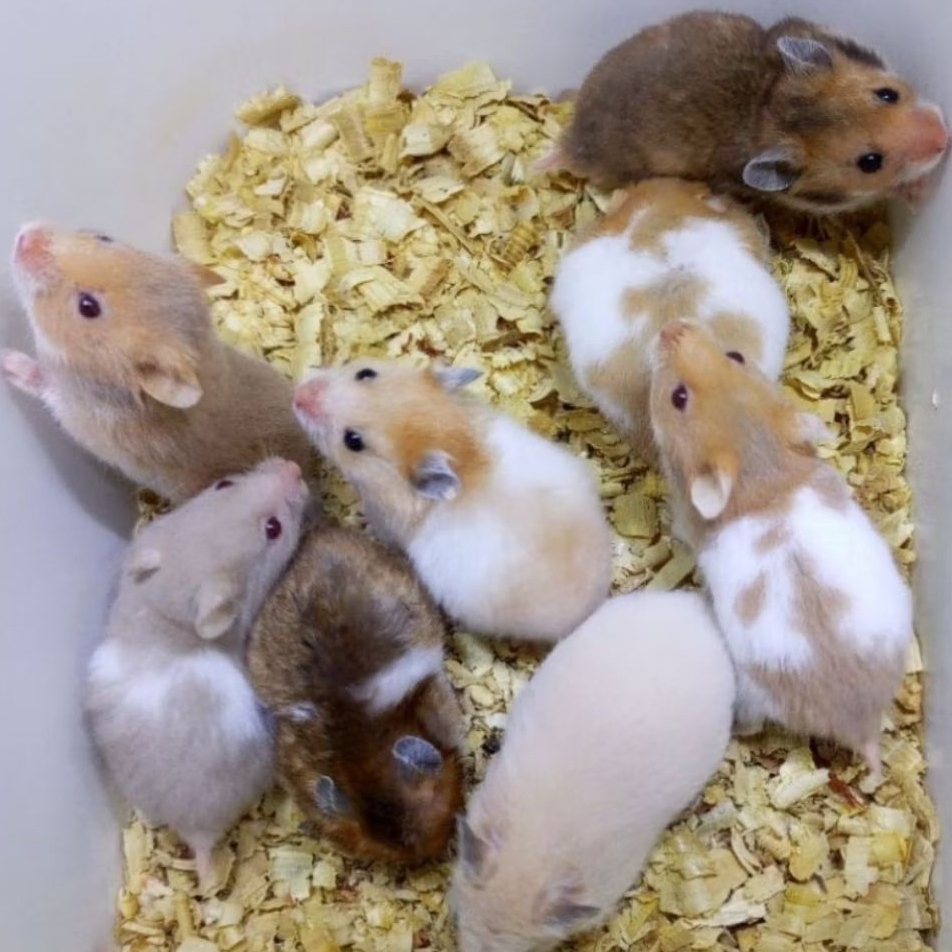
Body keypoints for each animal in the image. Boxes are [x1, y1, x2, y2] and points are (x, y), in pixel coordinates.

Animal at [2, 223, 314, 501]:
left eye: (88, 306)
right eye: (105, 238)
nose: (24, 237)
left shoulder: (75, 412)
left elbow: (39, 381)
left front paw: (6, 359)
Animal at [292, 360, 612, 642]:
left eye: (353, 441)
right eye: (366, 372)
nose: (298, 395)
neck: (458, 446)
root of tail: (592, 608)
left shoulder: (384, 518)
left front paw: (359, 520)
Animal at [540, 11, 948, 215]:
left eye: (887, 94)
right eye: (869, 162)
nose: (945, 136)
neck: (768, 102)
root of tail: (573, 138)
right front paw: (919, 195)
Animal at [648, 320, 913, 775]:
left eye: (677, 397)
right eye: (735, 354)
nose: (672, 326)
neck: (761, 468)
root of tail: (858, 724)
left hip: (752, 692)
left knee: (752, 724)